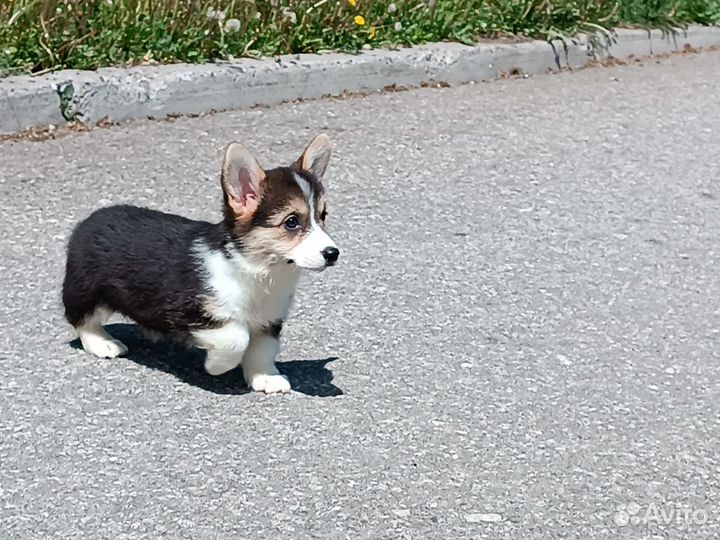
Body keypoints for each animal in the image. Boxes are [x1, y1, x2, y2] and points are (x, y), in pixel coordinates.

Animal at [62, 134, 340, 396]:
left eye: (323, 216)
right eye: (292, 222)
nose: (333, 253)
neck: (258, 271)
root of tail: (87, 221)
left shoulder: (269, 320)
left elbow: (263, 350)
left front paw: (265, 378)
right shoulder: (192, 311)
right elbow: (237, 338)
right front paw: (216, 366)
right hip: (89, 291)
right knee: (81, 319)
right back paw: (103, 343)